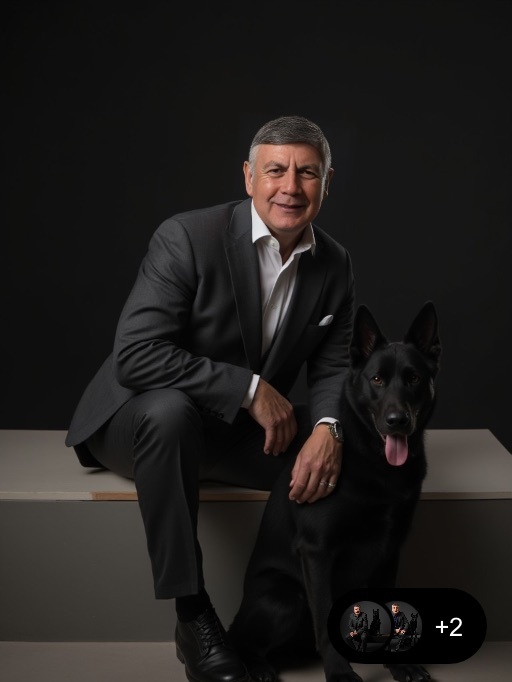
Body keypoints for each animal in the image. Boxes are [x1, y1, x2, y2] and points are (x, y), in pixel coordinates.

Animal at [229, 301, 441, 682]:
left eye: (414, 378)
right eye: (377, 380)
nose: (397, 421)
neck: (374, 462)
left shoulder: (391, 550)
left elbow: (391, 606)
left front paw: (399, 664)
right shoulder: (317, 552)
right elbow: (324, 614)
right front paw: (340, 673)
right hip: (285, 598)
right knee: (241, 638)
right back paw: (259, 667)